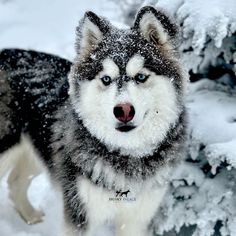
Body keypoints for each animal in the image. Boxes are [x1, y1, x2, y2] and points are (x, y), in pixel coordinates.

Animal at [0, 5, 188, 236]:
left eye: (141, 77)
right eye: (106, 79)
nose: (124, 110)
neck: (126, 154)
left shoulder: (136, 218)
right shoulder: (80, 213)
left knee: (16, 182)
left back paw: (32, 217)